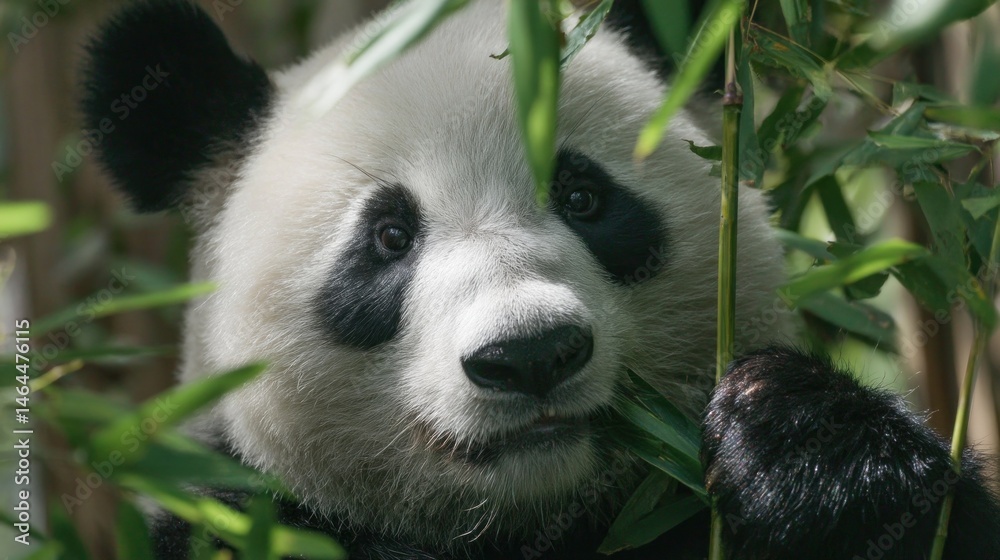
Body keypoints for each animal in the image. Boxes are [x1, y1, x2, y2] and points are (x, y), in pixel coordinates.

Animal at [79, 0, 1000, 558]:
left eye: (585, 197)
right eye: (388, 238)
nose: (530, 356)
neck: (527, 526)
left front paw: (803, 448)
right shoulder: (242, 513)